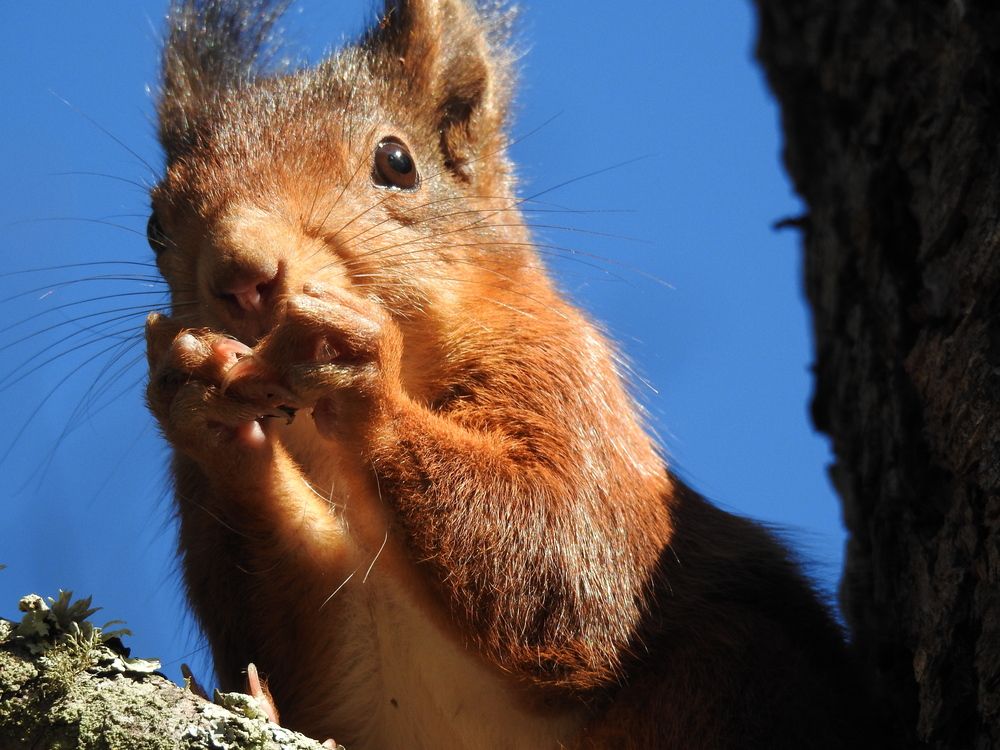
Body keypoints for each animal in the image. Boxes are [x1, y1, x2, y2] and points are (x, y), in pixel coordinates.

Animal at [144, 1, 879, 747]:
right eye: (156, 225)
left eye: (396, 162)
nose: (241, 273)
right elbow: (290, 651)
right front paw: (206, 411)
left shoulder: (566, 376)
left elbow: (569, 560)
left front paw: (355, 369)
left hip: (734, 668)